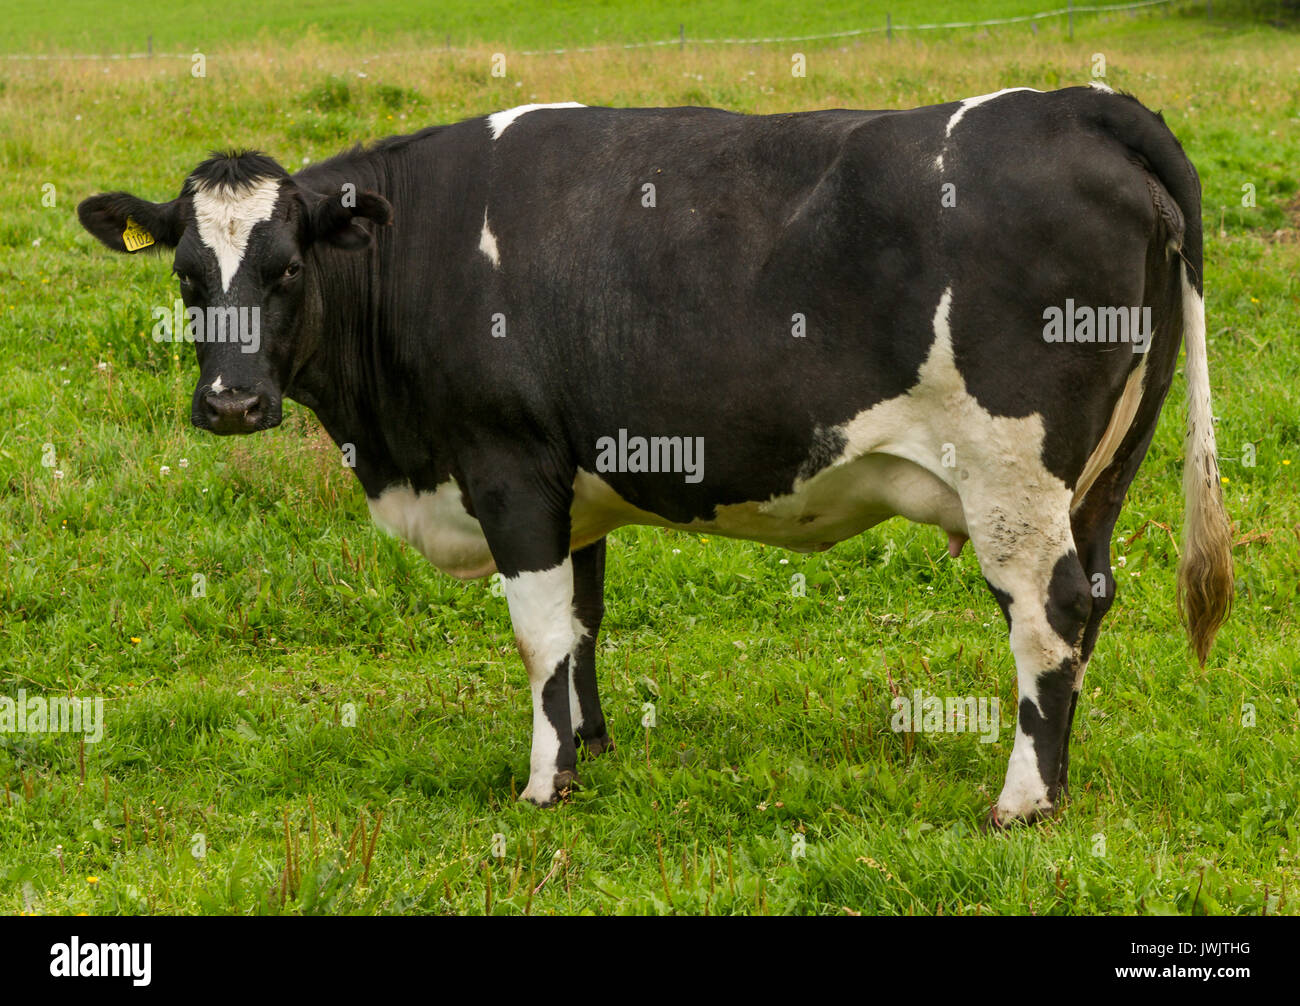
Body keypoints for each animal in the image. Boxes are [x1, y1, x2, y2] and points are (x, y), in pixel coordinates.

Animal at [76, 86, 1232, 826]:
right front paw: (590, 749)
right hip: (1104, 472)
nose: (231, 402)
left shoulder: (509, 468)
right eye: (187, 275)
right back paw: (1060, 786)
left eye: (284, 267)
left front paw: (544, 787)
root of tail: (1078, 101)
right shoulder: (570, 482)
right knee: (1093, 598)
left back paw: (1022, 801)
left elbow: (539, 634)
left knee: (1050, 612)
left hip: (1012, 473)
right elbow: (584, 623)